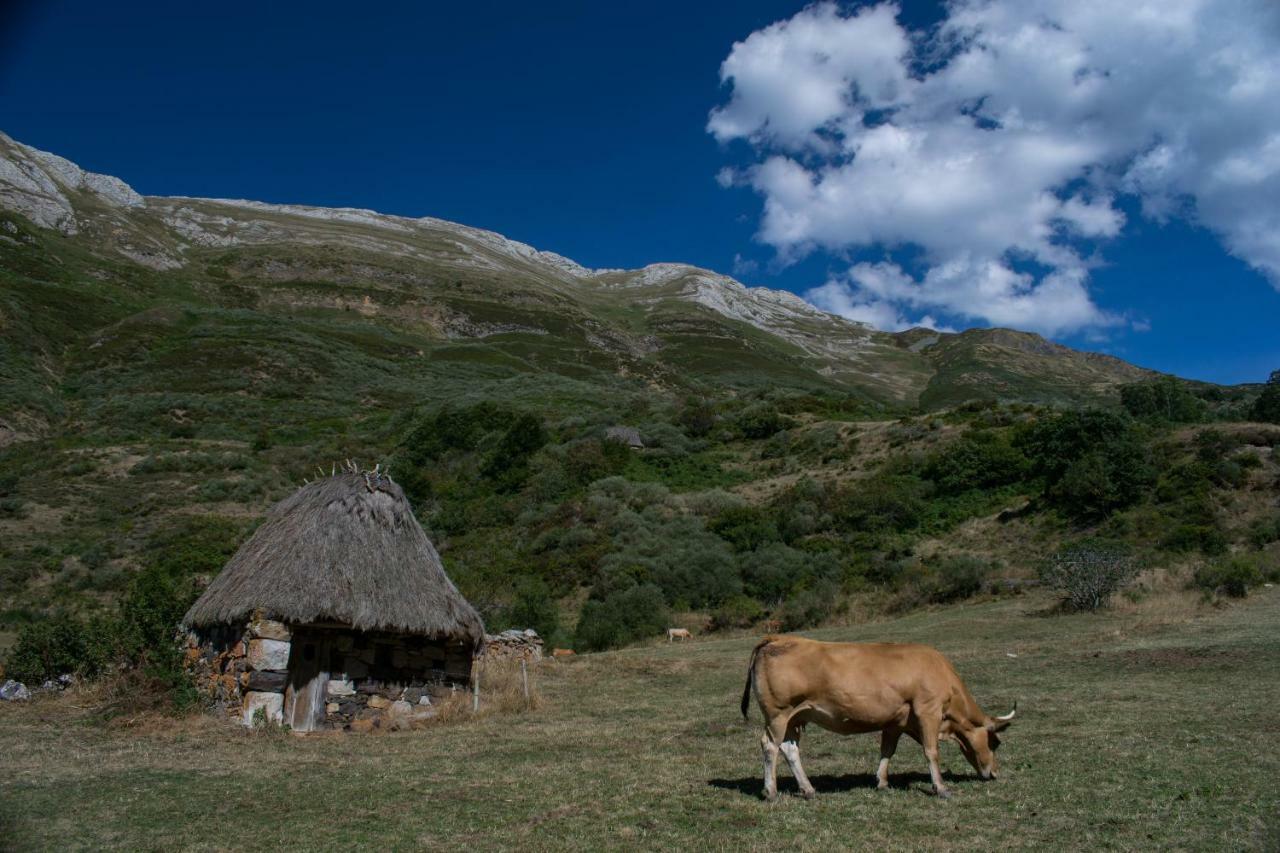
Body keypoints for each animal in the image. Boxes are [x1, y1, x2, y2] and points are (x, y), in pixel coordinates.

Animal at [747, 630, 1013, 799]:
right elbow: (931, 751)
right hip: (778, 714)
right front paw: (941, 788)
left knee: (790, 749)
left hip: (795, 717)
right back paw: (771, 791)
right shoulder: (928, 711)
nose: (995, 773)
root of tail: (778, 638)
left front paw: (882, 782)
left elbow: (887, 750)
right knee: (770, 745)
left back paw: (808, 790)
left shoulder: (895, 721)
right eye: (995, 742)